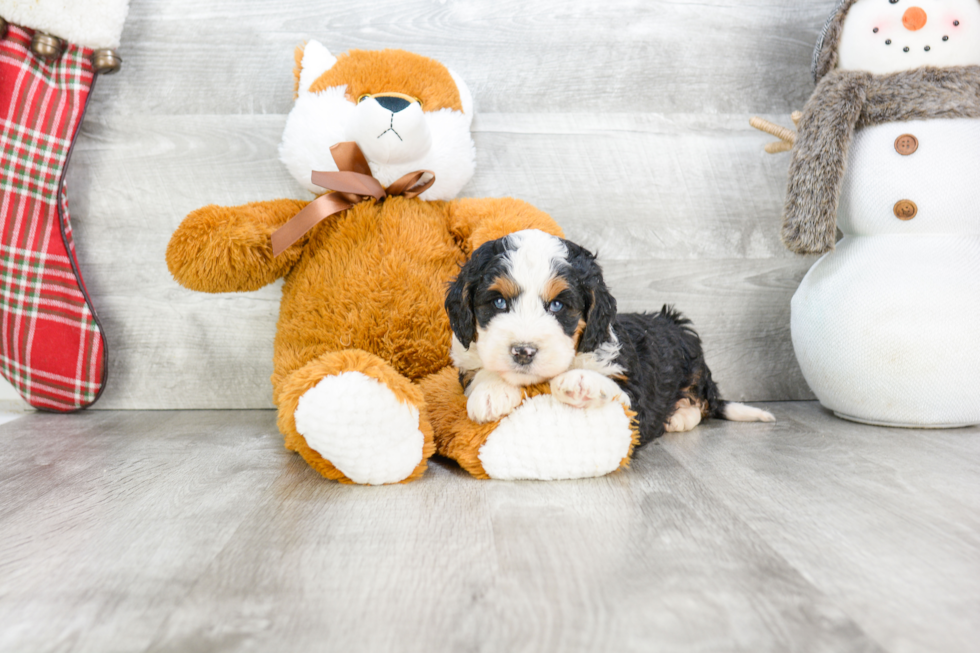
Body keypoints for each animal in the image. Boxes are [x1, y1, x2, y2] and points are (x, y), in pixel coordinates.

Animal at [444, 227, 772, 446]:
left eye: (558, 305)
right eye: (499, 302)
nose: (523, 351)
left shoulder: (635, 399)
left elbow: (618, 390)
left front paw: (581, 381)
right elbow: (478, 372)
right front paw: (491, 391)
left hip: (693, 359)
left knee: (701, 403)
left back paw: (679, 415)